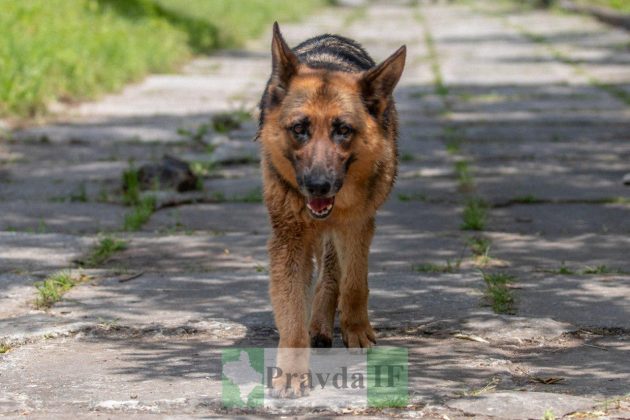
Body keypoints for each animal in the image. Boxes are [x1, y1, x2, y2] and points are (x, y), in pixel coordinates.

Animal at [260, 23, 408, 398]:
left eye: (343, 130)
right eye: (300, 129)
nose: (318, 185)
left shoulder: (357, 225)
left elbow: (354, 283)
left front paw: (355, 329)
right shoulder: (289, 240)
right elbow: (291, 313)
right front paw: (292, 372)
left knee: (333, 275)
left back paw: (326, 322)